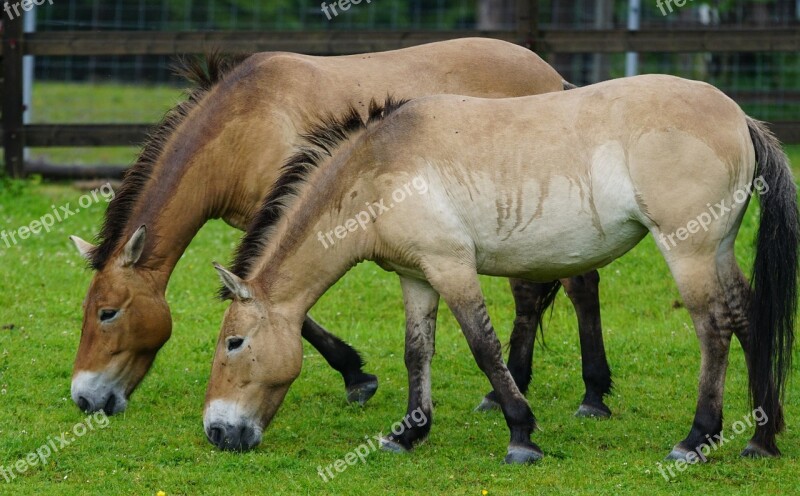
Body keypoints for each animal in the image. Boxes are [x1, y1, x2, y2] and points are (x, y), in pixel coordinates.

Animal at [67, 37, 612, 418]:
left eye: (108, 314)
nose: (84, 399)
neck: (246, 123)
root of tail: (556, 78)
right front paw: (356, 374)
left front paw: (356, 376)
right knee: (533, 296)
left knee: (577, 286)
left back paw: (590, 394)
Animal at [205, 74, 792, 464]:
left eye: (234, 343)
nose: (216, 432)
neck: (380, 169)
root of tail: (739, 116)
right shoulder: (417, 277)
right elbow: (417, 351)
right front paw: (407, 434)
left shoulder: (452, 269)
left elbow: (484, 347)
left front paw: (521, 434)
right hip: (716, 250)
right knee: (747, 319)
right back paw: (760, 438)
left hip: (688, 250)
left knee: (714, 330)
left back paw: (696, 439)